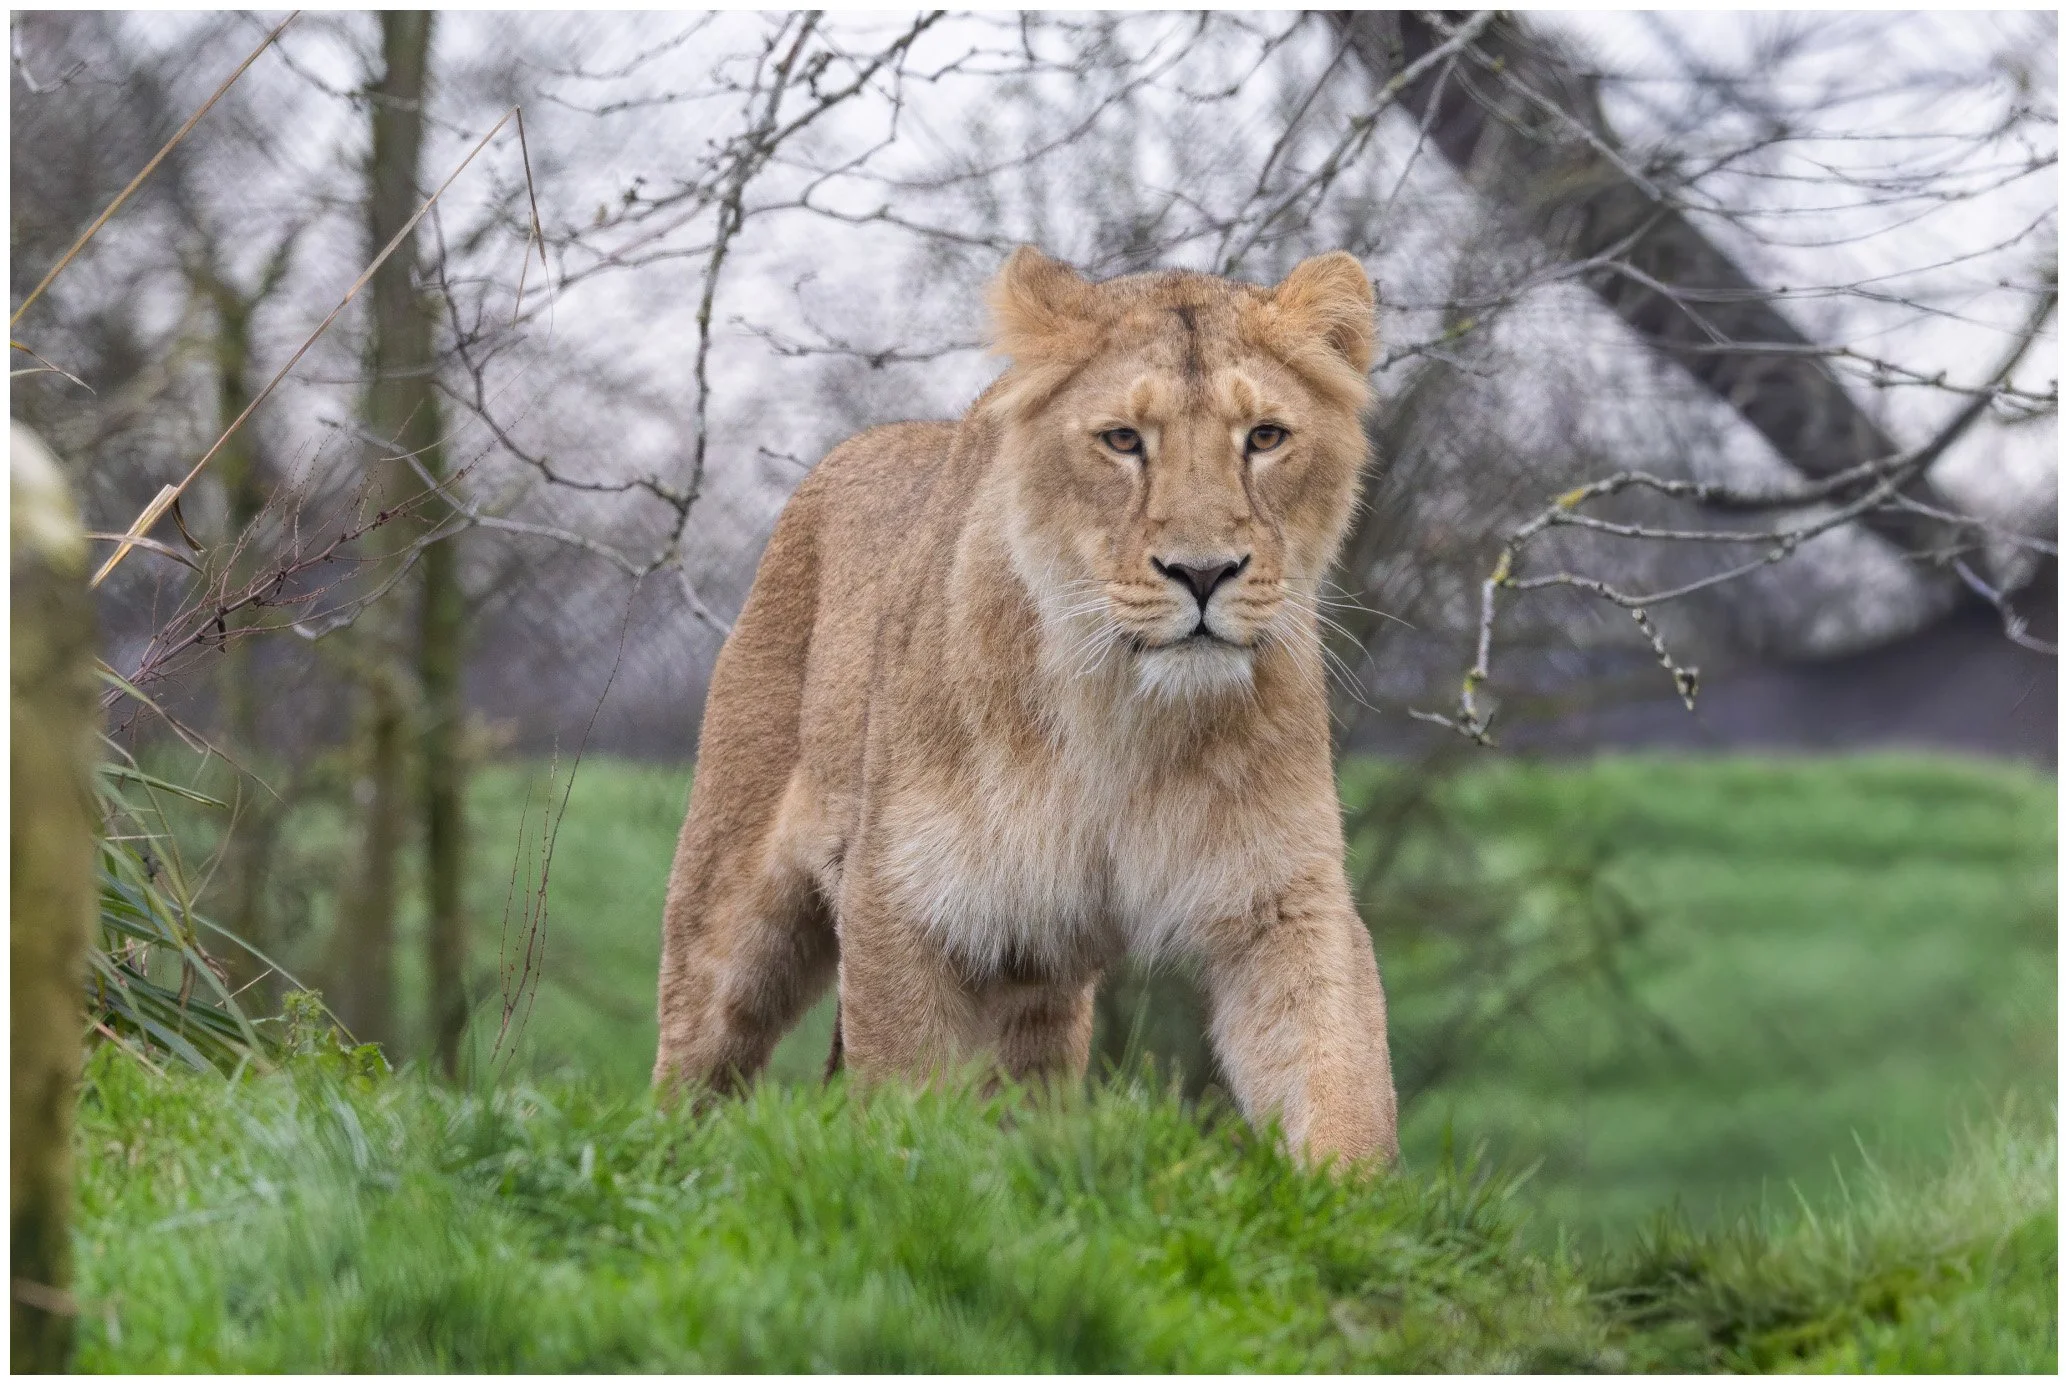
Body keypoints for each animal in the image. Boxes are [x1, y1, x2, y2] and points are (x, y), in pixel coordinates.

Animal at [654, 246, 1398, 1164]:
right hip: (729, 910)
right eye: (1123, 439)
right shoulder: (901, 895)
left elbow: (1337, 1070)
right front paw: (910, 1171)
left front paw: (1351, 1197)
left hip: (1040, 973)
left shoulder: (1281, 897)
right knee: (691, 1062)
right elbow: (901, 1093)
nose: (1203, 572)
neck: (1124, 709)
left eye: (1265, 436)